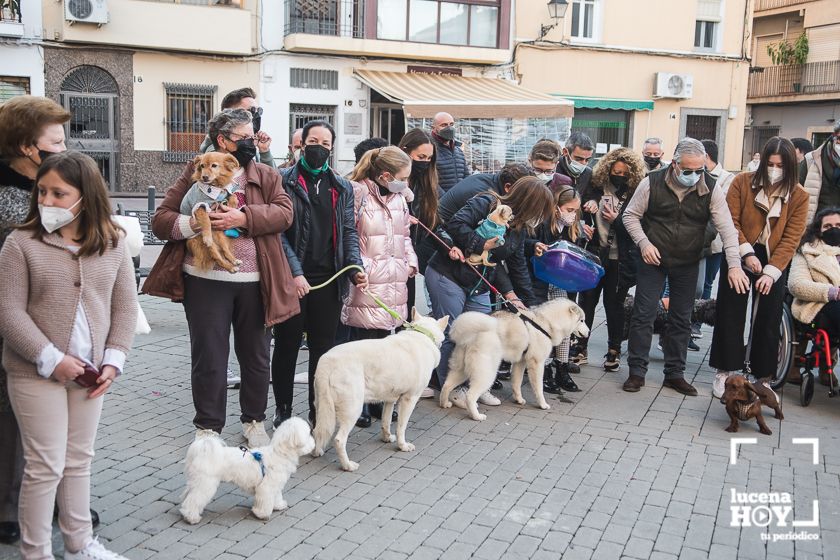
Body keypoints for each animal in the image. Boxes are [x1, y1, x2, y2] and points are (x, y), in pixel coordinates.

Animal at [180, 414, 316, 524]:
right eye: (308, 434)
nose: (314, 442)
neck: (280, 453)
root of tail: (202, 452)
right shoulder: (266, 487)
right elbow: (265, 501)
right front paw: (261, 514)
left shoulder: (275, 485)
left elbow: (276, 496)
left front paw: (279, 505)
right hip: (206, 483)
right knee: (194, 500)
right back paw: (191, 517)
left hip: (196, 482)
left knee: (188, 495)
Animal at [312, 310, 450, 472]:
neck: (422, 334)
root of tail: (328, 362)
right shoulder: (409, 399)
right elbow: (401, 427)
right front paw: (403, 446)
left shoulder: (390, 400)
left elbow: (386, 421)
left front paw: (387, 438)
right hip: (353, 409)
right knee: (339, 440)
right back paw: (347, 465)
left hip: (322, 406)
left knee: (317, 431)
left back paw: (317, 452)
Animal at [440, 300, 592, 418]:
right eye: (582, 320)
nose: (589, 332)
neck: (546, 323)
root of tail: (471, 333)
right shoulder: (537, 364)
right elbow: (539, 388)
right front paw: (543, 404)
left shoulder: (520, 362)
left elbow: (516, 383)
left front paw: (519, 400)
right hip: (487, 373)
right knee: (470, 396)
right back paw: (476, 416)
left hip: (460, 370)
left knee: (446, 385)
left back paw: (444, 404)